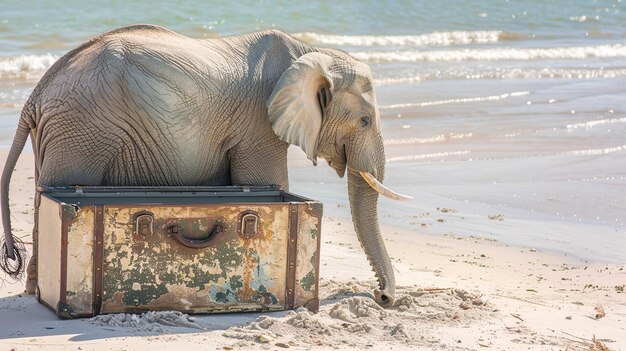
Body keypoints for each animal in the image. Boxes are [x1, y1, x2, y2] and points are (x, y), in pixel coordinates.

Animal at [0, 23, 408, 306]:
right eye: (365, 121)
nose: (383, 298)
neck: (312, 53)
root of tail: (35, 96)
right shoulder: (259, 126)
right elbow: (267, 180)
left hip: (66, 132)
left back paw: (35, 295)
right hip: (82, 131)